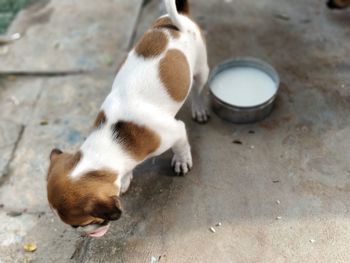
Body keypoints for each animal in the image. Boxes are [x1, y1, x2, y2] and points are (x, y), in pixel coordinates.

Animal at [47, 0, 209, 239]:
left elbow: (181, 146)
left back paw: (199, 108)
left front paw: (181, 161)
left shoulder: (175, 132)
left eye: (82, 224)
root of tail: (178, 19)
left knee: (198, 90)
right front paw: (125, 178)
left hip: (201, 71)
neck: (112, 139)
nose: (84, 233)